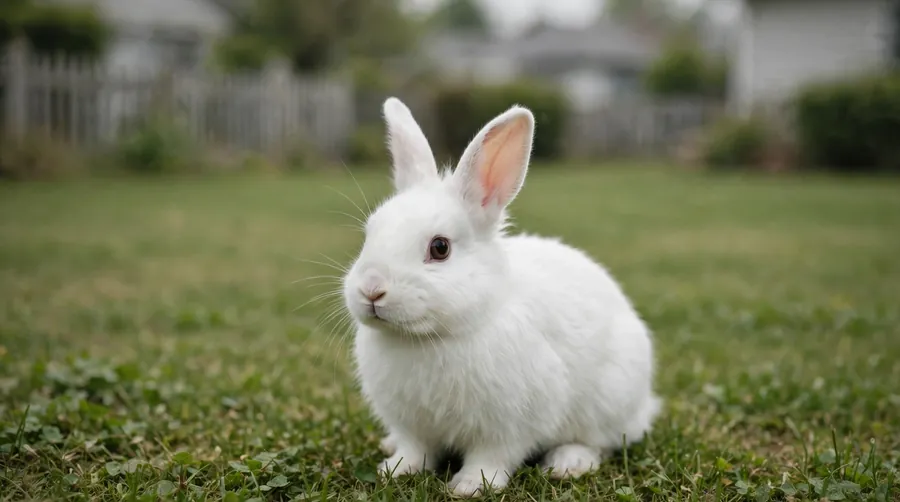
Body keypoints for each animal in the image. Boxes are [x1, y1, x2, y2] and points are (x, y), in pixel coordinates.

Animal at [341, 97, 662, 498]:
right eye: (370, 234)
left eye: (440, 248)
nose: (371, 289)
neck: (430, 337)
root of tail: (644, 406)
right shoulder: (411, 424)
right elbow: (415, 449)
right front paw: (395, 470)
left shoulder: (509, 425)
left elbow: (492, 457)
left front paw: (469, 486)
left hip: (608, 401)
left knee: (599, 442)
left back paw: (568, 464)